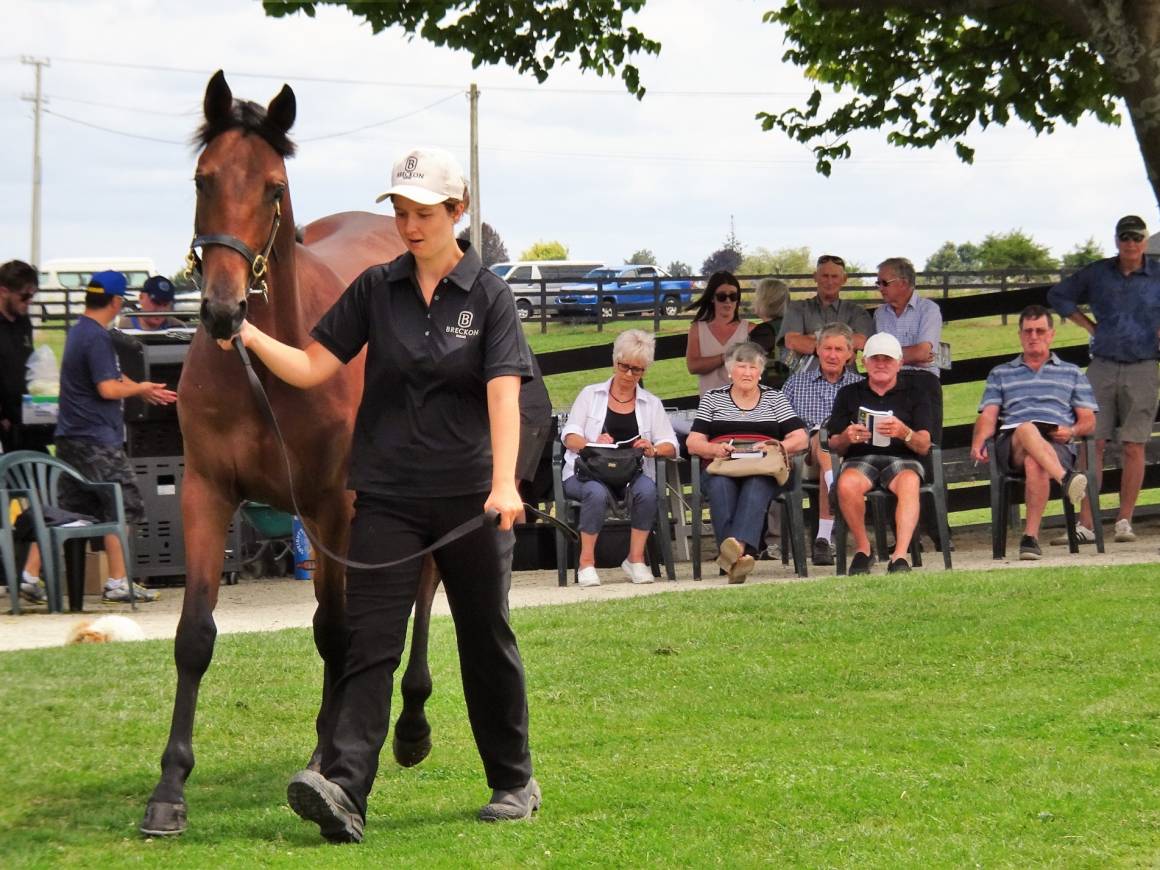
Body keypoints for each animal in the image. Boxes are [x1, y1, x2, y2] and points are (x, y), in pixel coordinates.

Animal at [136, 69, 438, 839]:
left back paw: (409, 727)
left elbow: (336, 632)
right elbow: (194, 635)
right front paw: (169, 790)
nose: (222, 310)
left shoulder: (334, 507)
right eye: (203, 177)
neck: (269, 368)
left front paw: (331, 761)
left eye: (274, 187)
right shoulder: (207, 493)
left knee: (422, 590)